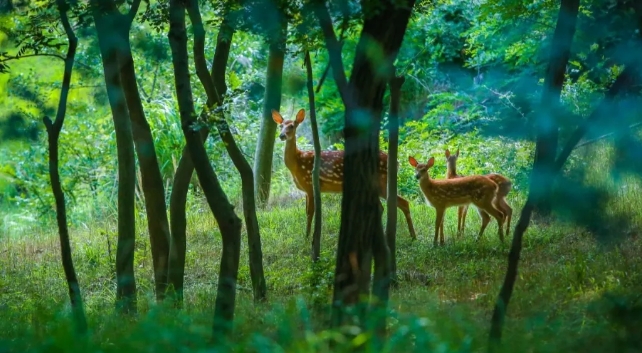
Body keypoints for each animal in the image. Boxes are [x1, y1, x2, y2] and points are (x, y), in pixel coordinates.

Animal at [268, 107, 416, 239]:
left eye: (292, 126)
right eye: (281, 126)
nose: (282, 136)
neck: (297, 163)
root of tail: (397, 162)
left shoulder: (310, 184)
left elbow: (310, 213)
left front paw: (307, 237)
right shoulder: (306, 190)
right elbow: (306, 212)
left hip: (381, 181)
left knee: (402, 203)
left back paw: (412, 236)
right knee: (385, 206)